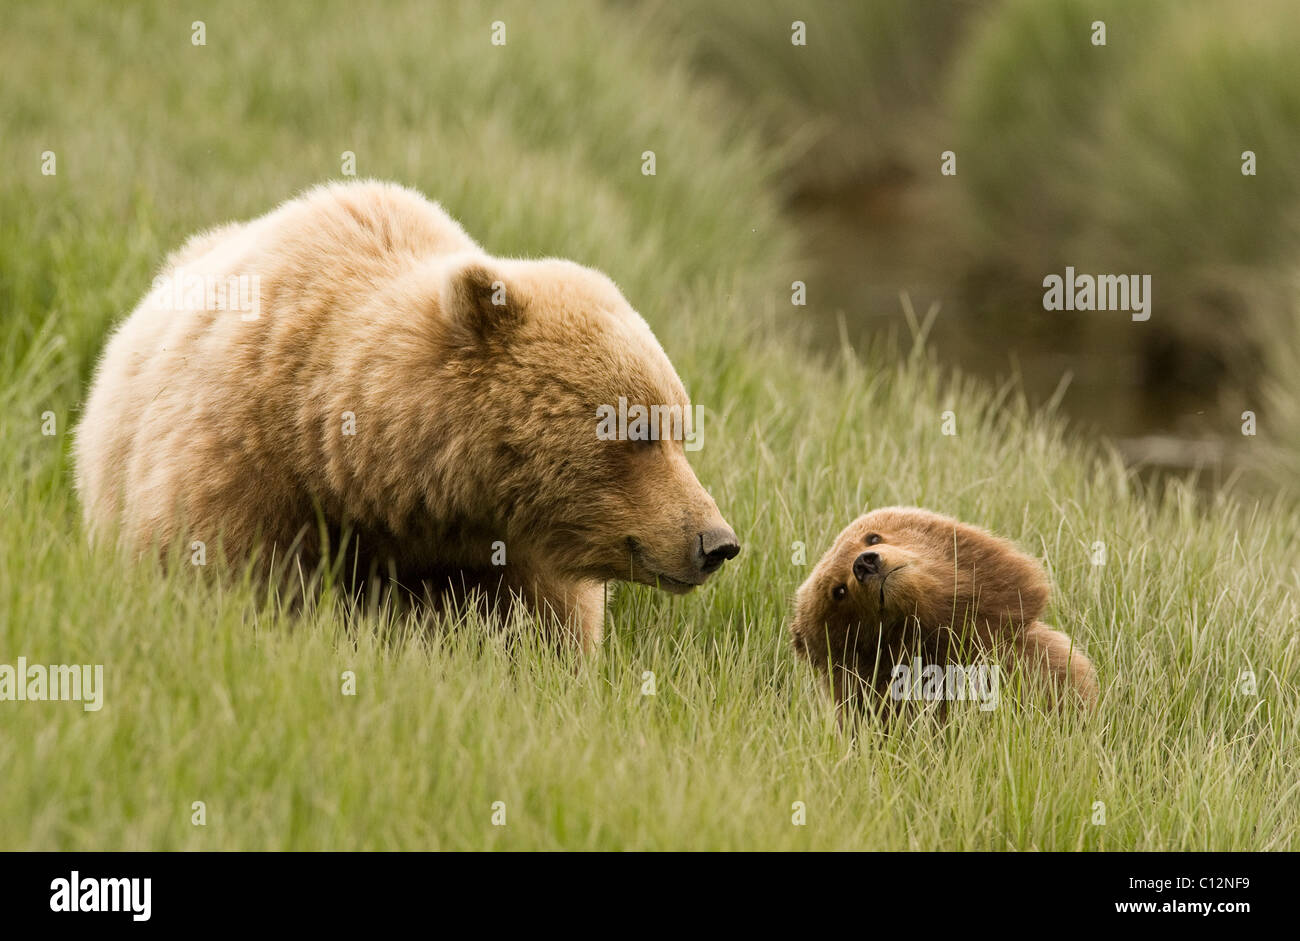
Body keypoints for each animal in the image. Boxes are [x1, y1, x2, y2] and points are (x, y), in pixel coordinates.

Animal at [73, 180, 739, 651]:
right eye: (638, 430)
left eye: (680, 430)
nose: (716, 541)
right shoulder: (242, 468)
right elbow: (225, 578)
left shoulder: (514, 560)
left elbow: (547, 639)